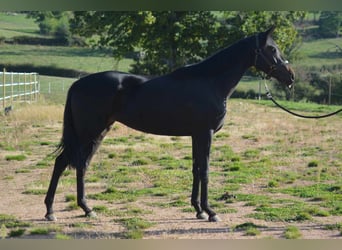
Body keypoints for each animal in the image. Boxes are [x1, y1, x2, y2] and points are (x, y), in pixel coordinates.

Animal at [44, 27, 294, 222]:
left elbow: (196, 169)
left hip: (98, 133)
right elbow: (205, 170)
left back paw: (87, 209)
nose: (290, 77)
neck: (209, 82)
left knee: (81, 165)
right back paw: (51, 212)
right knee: (62, 163)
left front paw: (198, 210)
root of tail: (77, 84)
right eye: (272, 49)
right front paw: (211, 212)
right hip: (88, 133)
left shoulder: (196, 135)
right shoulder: (206, 133)